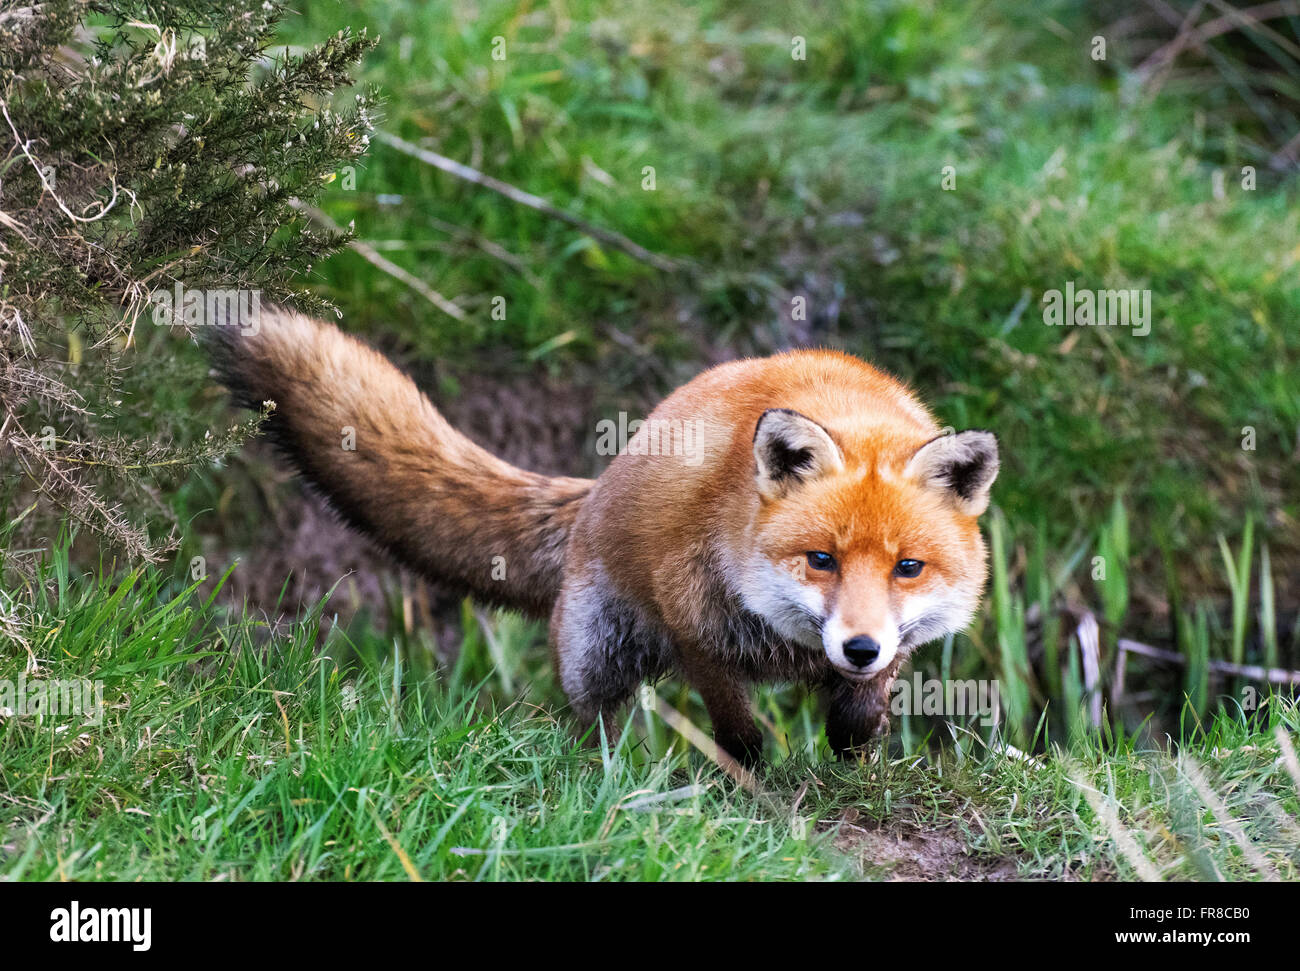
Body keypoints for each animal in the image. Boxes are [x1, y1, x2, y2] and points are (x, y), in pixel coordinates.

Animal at [210, 309, 993, 769]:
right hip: (599, 648)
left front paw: (854, 748)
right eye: (821, 559)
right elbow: (734, 725)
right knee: (593, 723)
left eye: (908, 567)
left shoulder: (894, 644)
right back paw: (605, 783)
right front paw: (752, 778)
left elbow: (865, 706)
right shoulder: (692, 620)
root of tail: (594, 493)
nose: (857, 647)